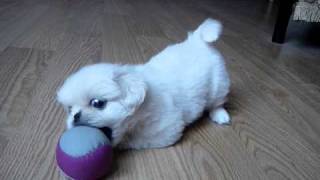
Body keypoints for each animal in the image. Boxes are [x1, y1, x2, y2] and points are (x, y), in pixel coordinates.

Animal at [57, 18, 230, 149]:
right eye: (70, 109)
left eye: (97, 103)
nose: (75, 116)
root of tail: (197, 40)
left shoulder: (165, 129)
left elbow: (135, 140)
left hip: (218, 84)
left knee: (217, 103)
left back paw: (220, 115)